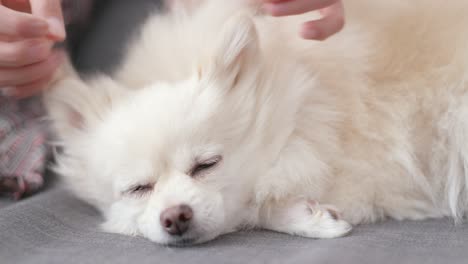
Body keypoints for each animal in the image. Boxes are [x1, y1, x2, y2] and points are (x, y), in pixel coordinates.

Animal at [44, 0, 468, 245]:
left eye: (206, 165)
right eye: (138, 189)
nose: (175, 216)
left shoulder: (369, 165)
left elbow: (255, 202)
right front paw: (309, 216)